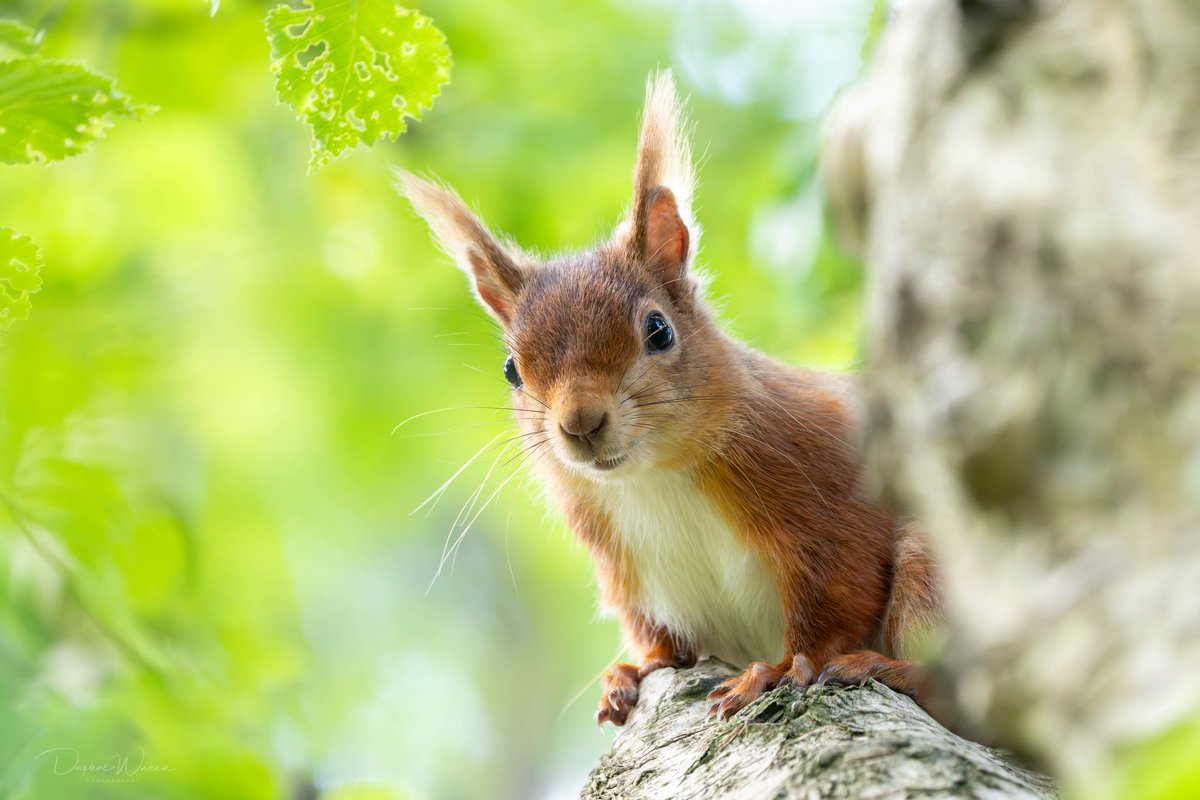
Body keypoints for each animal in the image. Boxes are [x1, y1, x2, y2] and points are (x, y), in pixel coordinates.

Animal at [398, 73, 940, 724]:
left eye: (658, 330)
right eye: (511, 370)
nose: (580, 422)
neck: (653, 477)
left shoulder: (829, 490)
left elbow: (836, 597)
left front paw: (782, 668)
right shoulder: (626, 570)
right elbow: (660, 640)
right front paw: (630, 670)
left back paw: (888, 668)